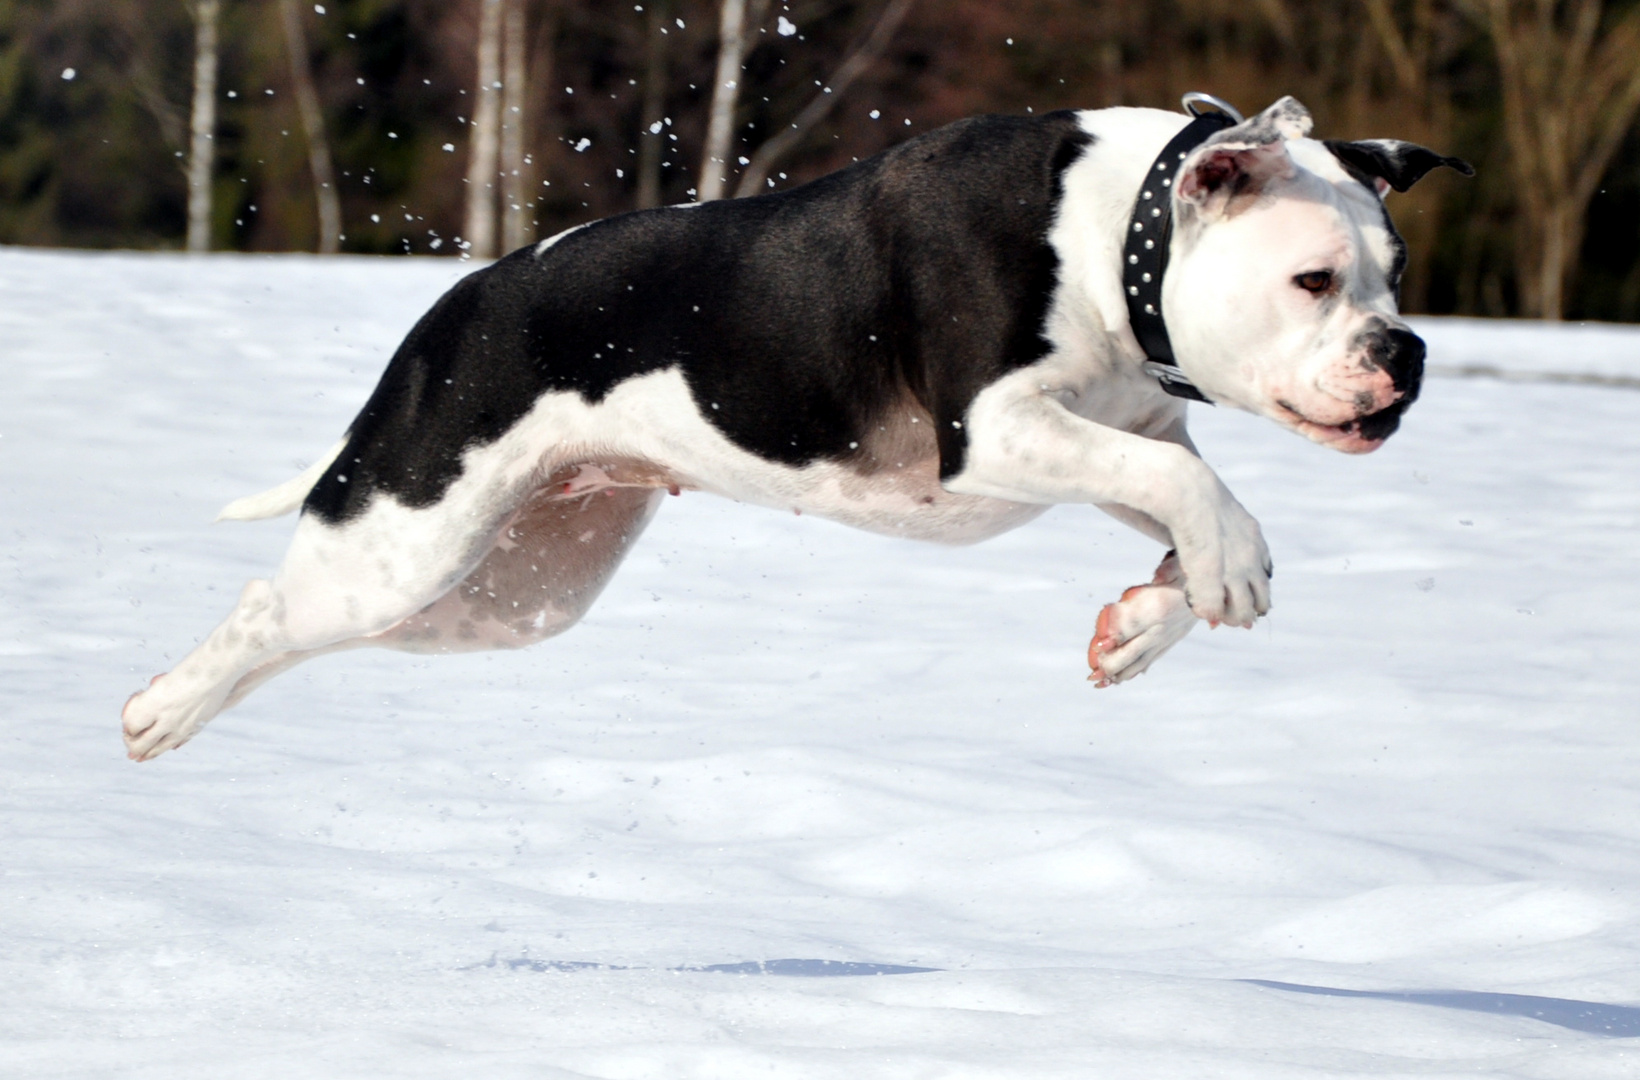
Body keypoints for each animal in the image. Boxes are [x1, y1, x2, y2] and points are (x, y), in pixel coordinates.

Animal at [118, 99, 1476, 760]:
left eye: (1397, 274)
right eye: (1311, 280)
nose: (1402, 354)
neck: (1118, 233)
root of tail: (462, 300)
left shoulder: (1112, 431)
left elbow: (1175, 502)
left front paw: (1139, 627)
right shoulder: (994, 429)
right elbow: (1207, 506)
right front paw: (1227, 570)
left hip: (504, 593)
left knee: (308, 630)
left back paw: (174, 700)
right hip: (410, 529)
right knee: (269, 608)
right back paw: (162, 711)